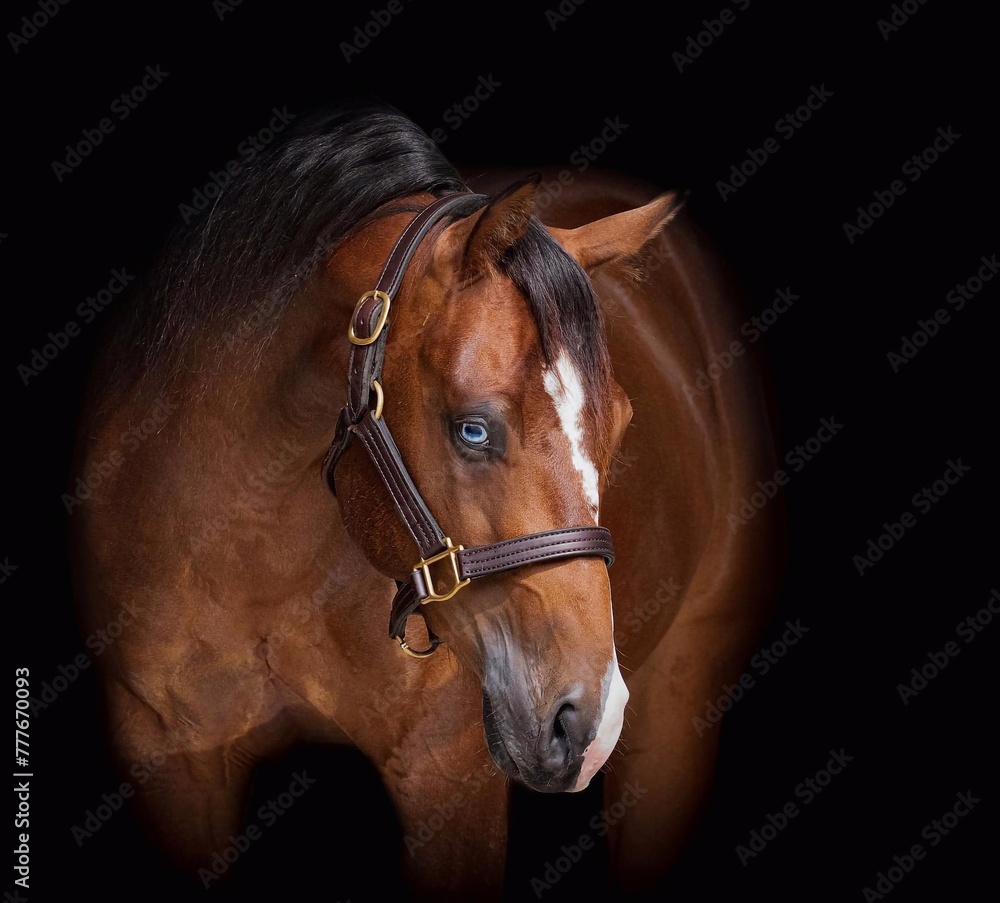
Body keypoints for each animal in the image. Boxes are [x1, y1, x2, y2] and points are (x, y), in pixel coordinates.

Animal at [68, 101, 783, 898]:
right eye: (472, 427)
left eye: (621, 427)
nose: (586, 723)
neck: (251, 540)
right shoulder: (172, 763)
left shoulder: (449, 781)